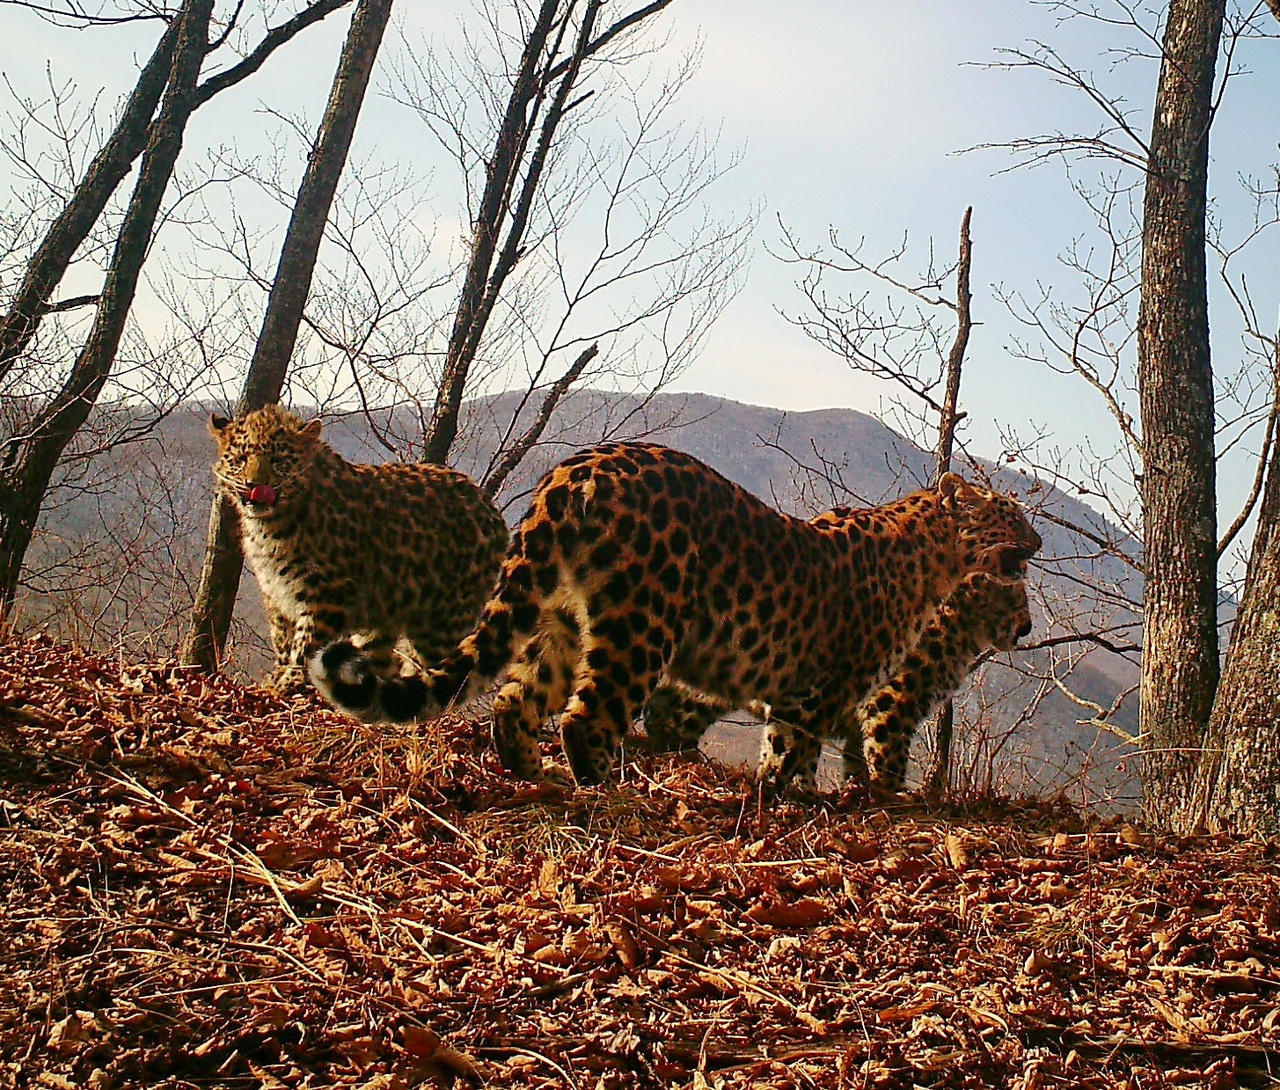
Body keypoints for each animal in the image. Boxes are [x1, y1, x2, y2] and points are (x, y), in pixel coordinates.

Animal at [208, 404, 504, 695]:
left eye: (280, 461)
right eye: (241, 459)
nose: (255, 486)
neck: (269, 527)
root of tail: (492, 512)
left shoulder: (327, 593)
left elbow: (306, 643)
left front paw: (289, 683)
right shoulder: (276, 594)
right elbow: (283, 640)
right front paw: (277, 677)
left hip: (441, 619)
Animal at [309, 437, 1039, 788]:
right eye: (1011, 514)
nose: (1036, 542)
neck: (933, 561)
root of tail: (576, 468)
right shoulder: (822, 690)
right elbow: (795, 755)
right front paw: (799, 800)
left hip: (562, 620)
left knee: (516, 703)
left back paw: (537, 773)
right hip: (644, 624)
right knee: (587, 715)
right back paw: (607, 789)